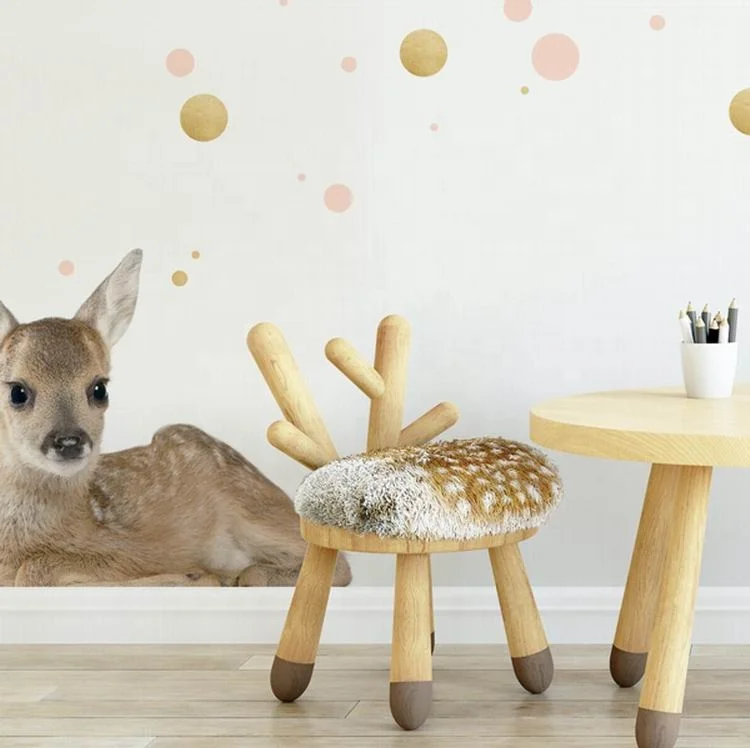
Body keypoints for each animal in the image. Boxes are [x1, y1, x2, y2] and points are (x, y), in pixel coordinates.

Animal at [0, 249, 352, 587]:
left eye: (99, 388)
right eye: (17, 392)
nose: (69, 441)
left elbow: (34, 571)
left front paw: (195, 576)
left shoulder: (130, 550)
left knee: (330, 567)